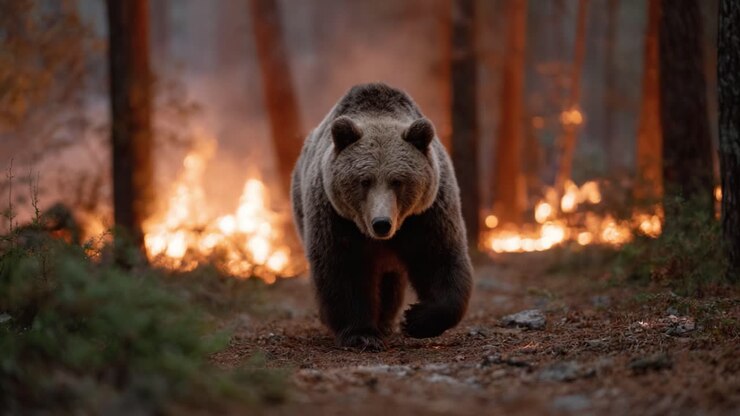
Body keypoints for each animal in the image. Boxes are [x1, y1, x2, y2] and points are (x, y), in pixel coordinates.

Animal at [291, 83, 473, 351]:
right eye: (364, 180)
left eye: (397, 181)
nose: (381, 224)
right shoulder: (335, 217)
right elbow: (343, 268)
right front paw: (362, 334)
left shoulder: (427, 214)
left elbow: (440, 258)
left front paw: (416, 318)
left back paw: (386, 320)